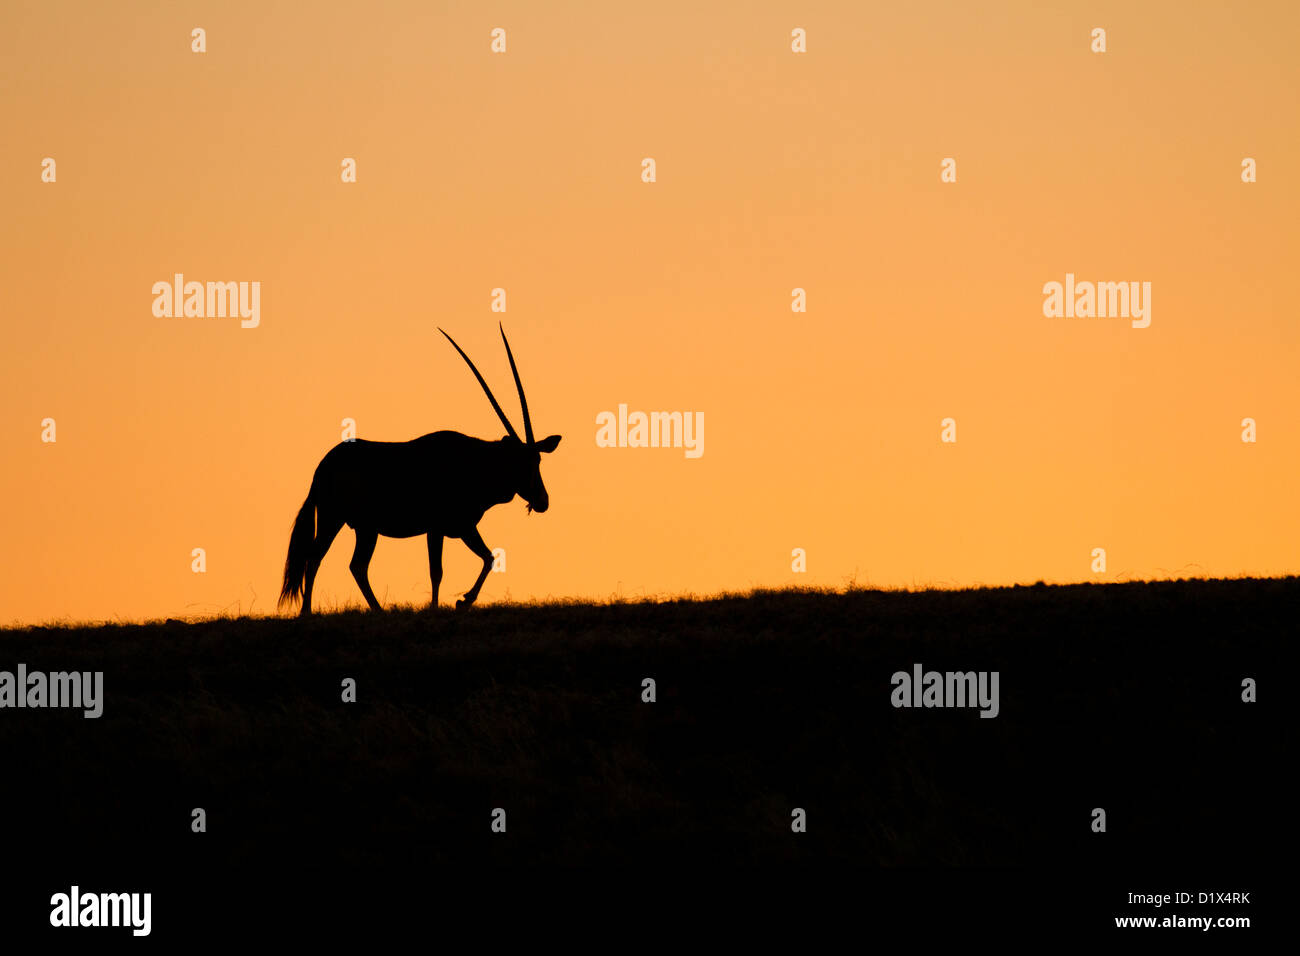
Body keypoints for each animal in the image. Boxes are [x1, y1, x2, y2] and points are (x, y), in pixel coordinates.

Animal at [276, 325, 561, 616]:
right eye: (519, 462)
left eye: (538, 460)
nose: (542, 501)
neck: (474, 460)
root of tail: (322, 468)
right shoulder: (437, 528)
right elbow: (437, 570)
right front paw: (442, 605)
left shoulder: (463, 527)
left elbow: (488, 556)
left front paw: (463, 600)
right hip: (333, 518)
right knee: (316, 556)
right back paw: (307, 612)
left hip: (366, 528)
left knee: (357, 565)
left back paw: (378, 610)